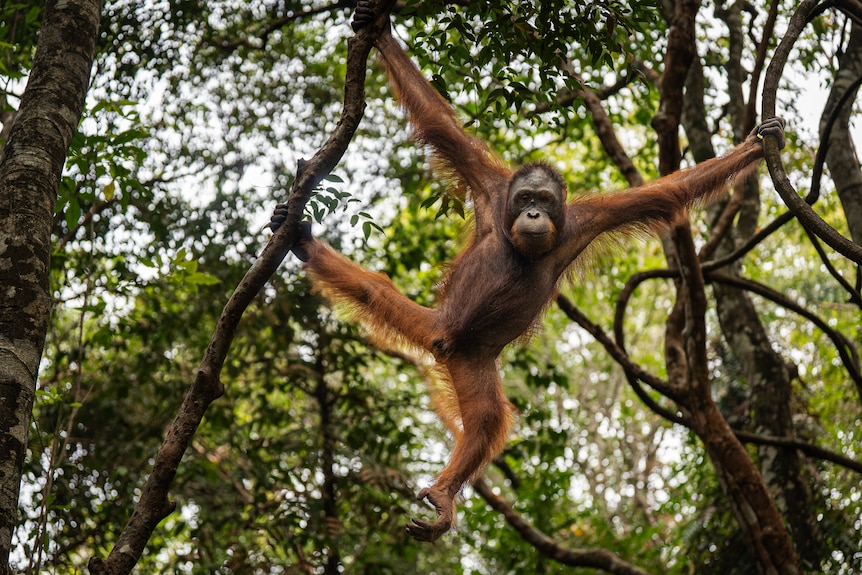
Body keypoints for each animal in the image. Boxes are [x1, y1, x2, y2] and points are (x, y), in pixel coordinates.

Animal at [270, 1, 786, 542]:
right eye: (523, 199)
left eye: (542, 199)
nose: (534, 213)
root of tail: (442, 336)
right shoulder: (488, 184)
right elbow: (438, 125)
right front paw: (380, 32)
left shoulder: (588, 219)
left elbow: (665, 194)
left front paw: (756, 146)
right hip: (444, 333)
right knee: (374, 290)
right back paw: (305, 245)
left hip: (473, 361)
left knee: (486, 420)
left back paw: (444, 495)